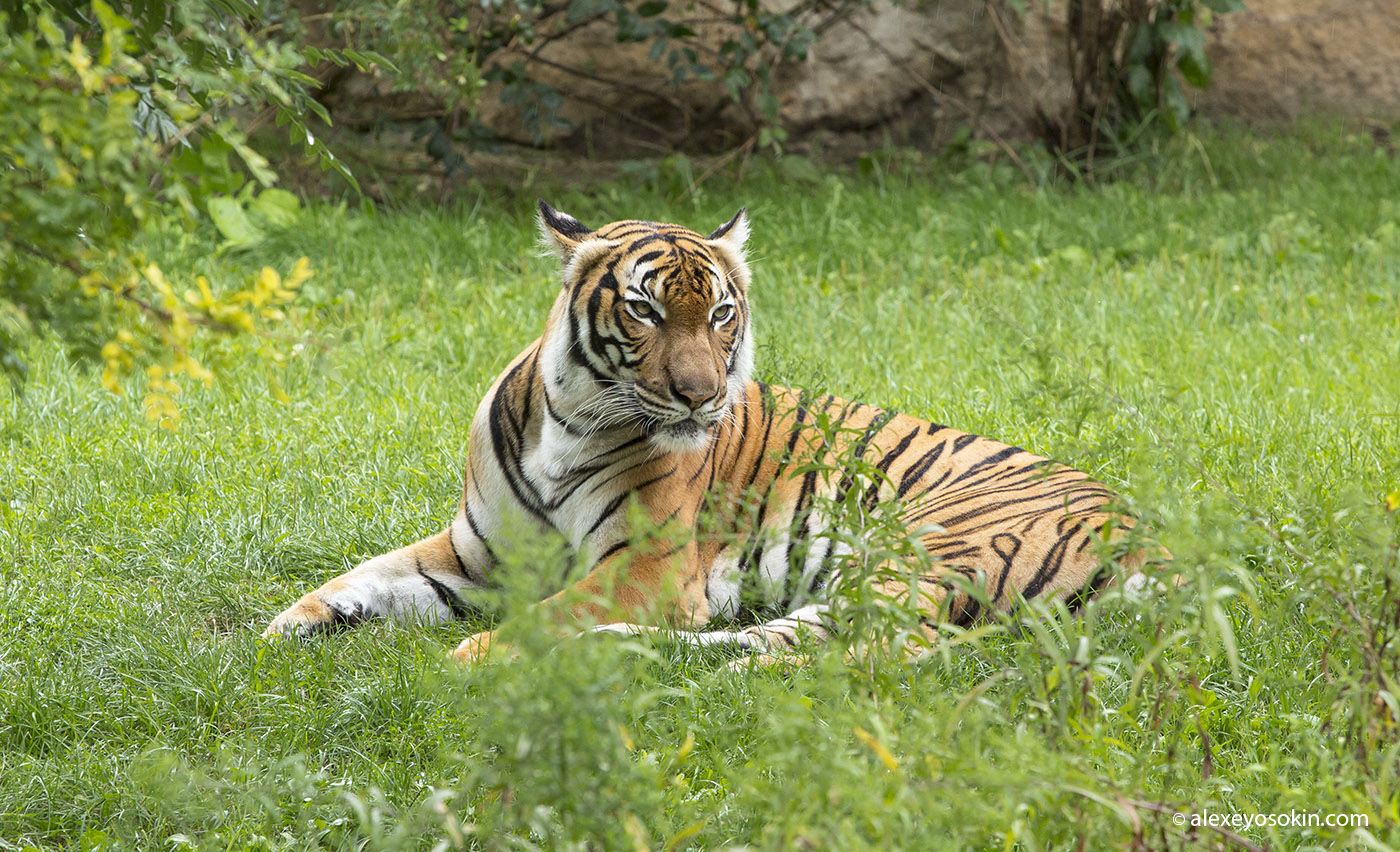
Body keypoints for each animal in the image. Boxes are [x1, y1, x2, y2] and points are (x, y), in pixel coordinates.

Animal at [264, 202, 1161, 663]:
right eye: (645, 309)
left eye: (722, 314)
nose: (699, 398)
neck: (568, 423)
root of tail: (1151, 537)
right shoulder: (478, 554)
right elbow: (369, 574)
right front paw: (292, 624)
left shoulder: (647, 566)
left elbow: (546, 614)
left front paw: (478, 655)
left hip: (921, 554)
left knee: (830, 656)